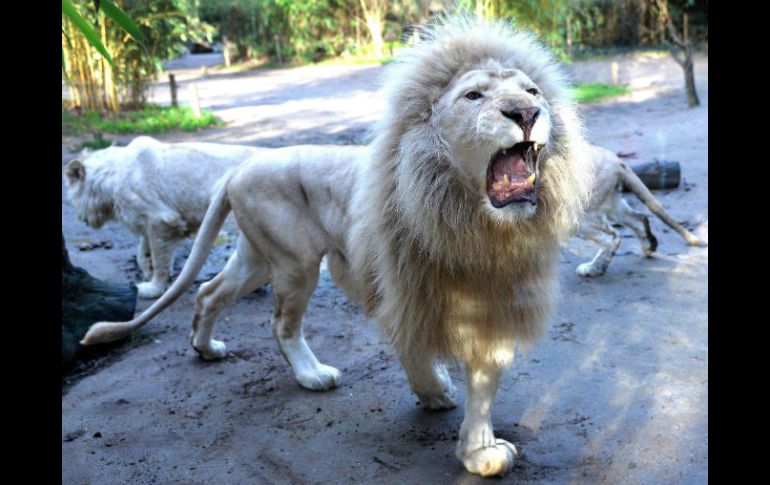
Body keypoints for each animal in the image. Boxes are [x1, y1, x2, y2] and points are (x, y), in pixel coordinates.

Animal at [63, 134, 260, 296]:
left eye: (73, 199)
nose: (81, 218)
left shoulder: (162, 219)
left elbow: (159, 259)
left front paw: (153, 288)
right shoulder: (148, 221)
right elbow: (143, 252)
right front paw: (148, 271)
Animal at [572, 143, 704, 276]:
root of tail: (616, 160)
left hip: (582, 215)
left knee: (613, 238)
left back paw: (593, 268)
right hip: (610, 203)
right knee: (639, 219)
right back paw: (649, 247)